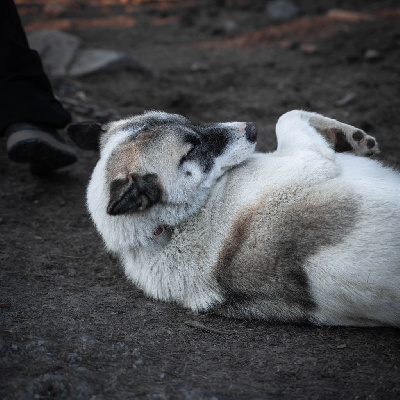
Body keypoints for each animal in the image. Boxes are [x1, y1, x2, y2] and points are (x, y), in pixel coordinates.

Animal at [68, 111, 400, 326]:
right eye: (192, 148)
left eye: (191, 122)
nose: (251, 128)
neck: (177, 224)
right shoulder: (312, 159)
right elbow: (288, 116)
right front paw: (352, 137)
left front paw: (348, 137)